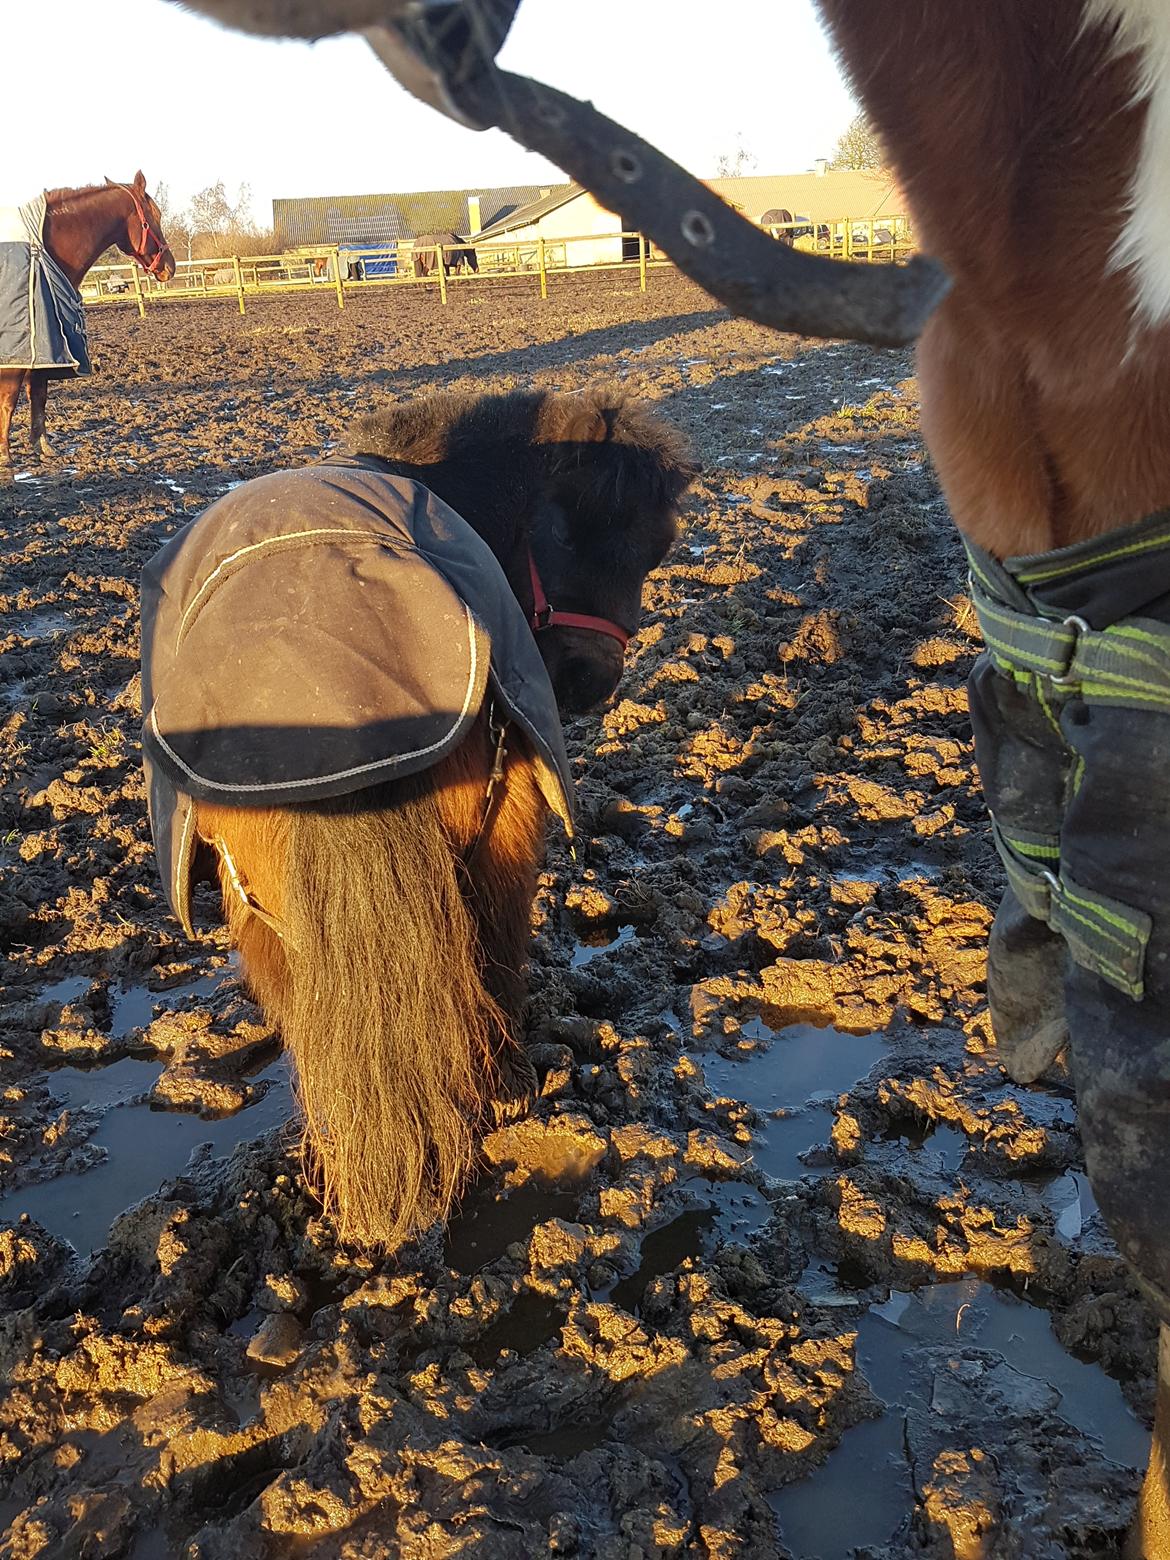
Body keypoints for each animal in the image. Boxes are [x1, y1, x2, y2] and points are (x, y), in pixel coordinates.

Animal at [0, 171, 175, 474]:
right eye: (156, 215)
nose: (169, 267)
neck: (41, 250)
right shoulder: (18, 351)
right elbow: (9, 400)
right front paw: (4, 455)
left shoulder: (48, 347)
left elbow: (39, 393)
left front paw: (42, 446)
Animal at [146, 393, 695, 1254]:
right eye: (565, 532)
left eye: (655, 550)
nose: (590, 683)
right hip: (506, 827)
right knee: (495, 949)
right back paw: (503, 1089)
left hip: (258, 906)